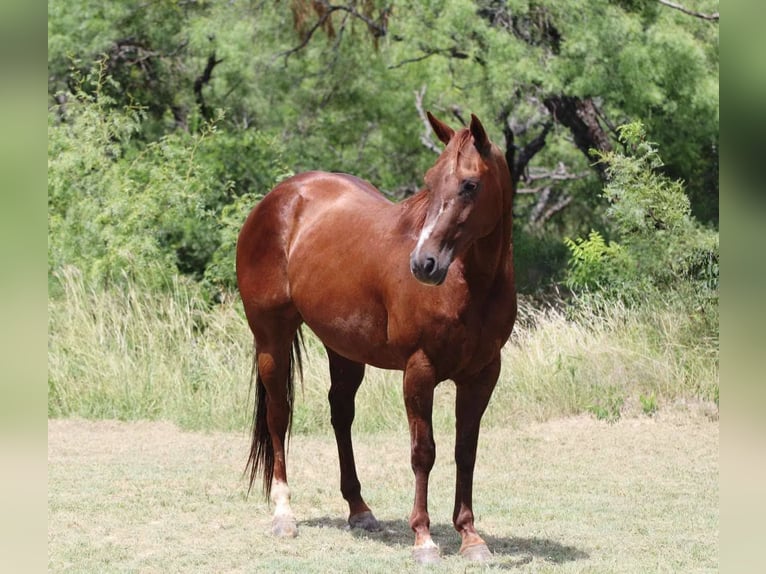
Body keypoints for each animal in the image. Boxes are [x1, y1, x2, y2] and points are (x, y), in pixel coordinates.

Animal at [235, 112, 516, 563]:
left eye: (470, 184)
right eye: (430, 179)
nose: (423, 263)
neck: (470, 286)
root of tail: (280, 197)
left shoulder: (483, 375)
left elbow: (465, 452)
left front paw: (470, 536)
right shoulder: (419, 371)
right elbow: (424, 452)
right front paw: (424, 538)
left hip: (344, 350)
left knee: (340, 415)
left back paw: (359, 510)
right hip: (271, 340)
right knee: (279, 417)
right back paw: (283, 515)